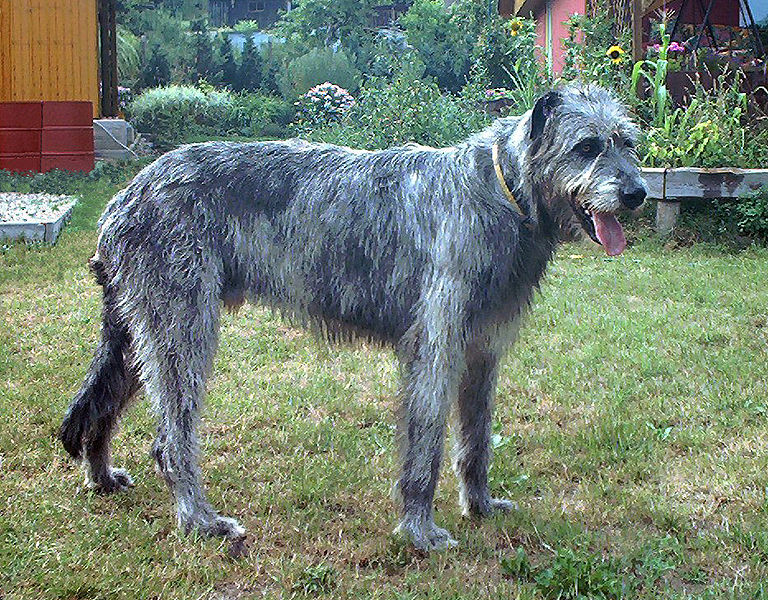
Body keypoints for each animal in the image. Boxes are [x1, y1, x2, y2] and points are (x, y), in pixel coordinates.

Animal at [63, 83, 644, 548]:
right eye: (587, 146)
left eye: (629, 142)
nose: (637, 193)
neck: (499, 194)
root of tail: (122, 199)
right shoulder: (434, 346)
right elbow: (425, 446)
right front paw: (420, 531)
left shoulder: (482, 349)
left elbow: (475, 440)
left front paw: (480, 506)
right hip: (182, 326)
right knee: (169, 440)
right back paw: (201, 521)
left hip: (139, 331)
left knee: (98, 404)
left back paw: (102, 475)